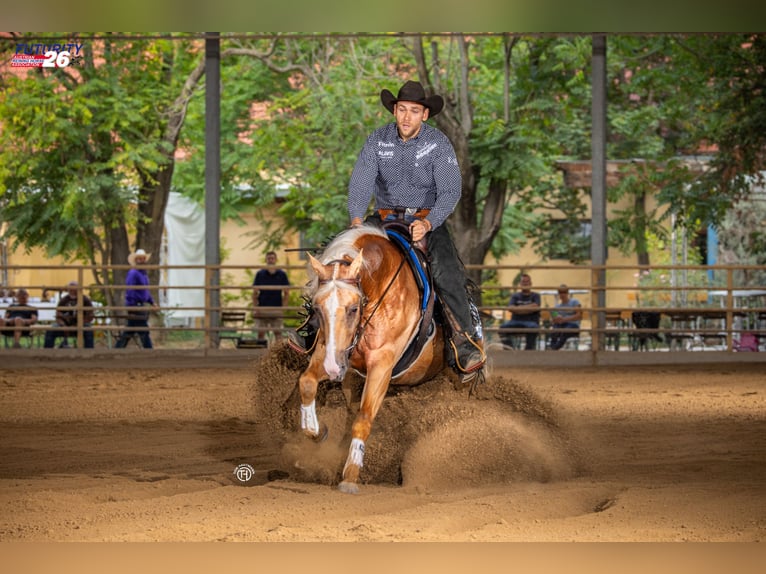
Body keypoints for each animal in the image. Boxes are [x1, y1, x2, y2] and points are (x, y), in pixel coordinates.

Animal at [297, 223, 451, 494]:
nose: (333, 369)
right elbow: (306, 382)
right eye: (316, 309)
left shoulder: (381, 365)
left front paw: (350, 476)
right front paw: (317, 430)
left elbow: (363, 418)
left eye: (353, 308)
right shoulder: (331, 351)